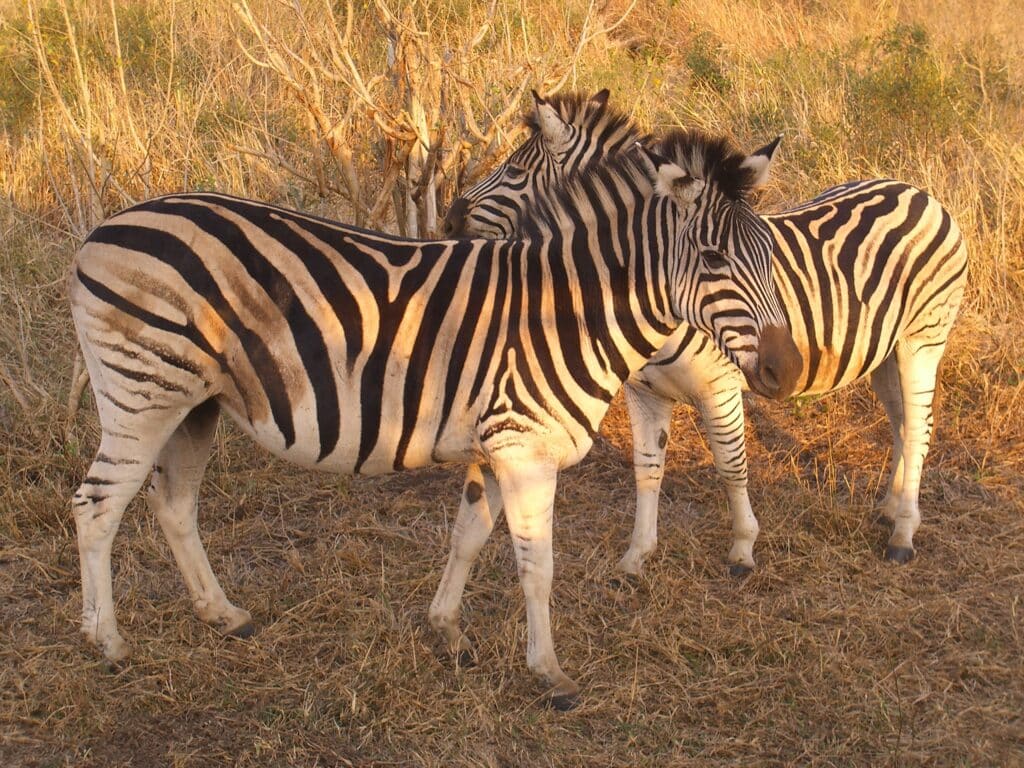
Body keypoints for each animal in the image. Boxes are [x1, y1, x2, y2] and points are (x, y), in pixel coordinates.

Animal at [68, 141, 800, 708]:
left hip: (194, 404)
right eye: (712, 259)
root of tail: (106, 228)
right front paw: (550, 674)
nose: (788, 371)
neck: (568, 313)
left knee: (174, 505)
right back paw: (108, 643)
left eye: (770, 258)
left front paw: (446, 631)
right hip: (142, 395)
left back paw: (222, 616)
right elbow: (538, 566)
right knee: (96, 506)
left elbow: (468, 537)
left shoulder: (494, 444)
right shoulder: (524, 449)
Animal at [442, 93, 968, 577]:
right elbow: (647, 469)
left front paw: (742, 549)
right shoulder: (644, 392)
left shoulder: (720, 387)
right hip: (884, 351)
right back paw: (891, 509)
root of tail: (918, 193)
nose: (450, 217)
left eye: (514, 170)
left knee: (919, 426)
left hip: (923, 340)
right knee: (902, 423)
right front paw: (637, 556)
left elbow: (732, 465)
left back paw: (902, 535)